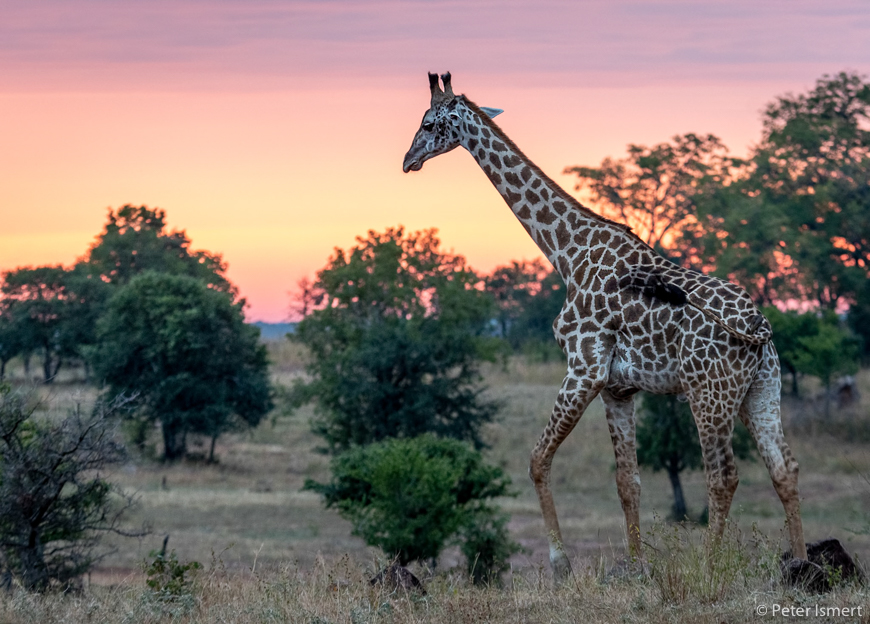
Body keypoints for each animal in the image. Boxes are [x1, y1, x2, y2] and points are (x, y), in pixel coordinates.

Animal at [403, 72, 807, 581]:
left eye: (428, 123)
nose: (407, 161)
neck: (566, 253)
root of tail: (760, 330)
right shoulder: (618, 388)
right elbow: (627, 481)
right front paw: (635, 567)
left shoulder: (584, 369)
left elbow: (537, 460)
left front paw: (561, 563)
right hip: (762, 388)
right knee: (784, 469)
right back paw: (802, 565)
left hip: (709, 393)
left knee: (723, 476)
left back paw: (710, 566)